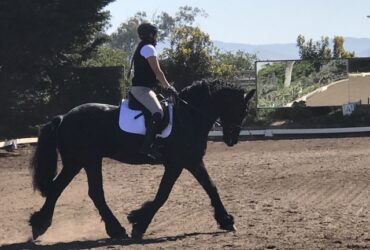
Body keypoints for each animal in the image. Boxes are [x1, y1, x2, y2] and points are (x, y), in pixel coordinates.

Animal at [29, 79, 254, 240]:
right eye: (242, 110)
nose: (232, 139)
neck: (189, 116)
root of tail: (64, 117)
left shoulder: (191, 161)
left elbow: (210, 187)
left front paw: (226, 220)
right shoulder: (179, 163)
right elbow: (164, 194)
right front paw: (139, 223)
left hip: (78, 162)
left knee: (64, 189)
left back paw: (41, 224)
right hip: (87, 160)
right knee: (91, 192)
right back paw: (115, 229)